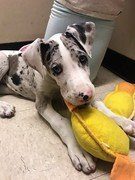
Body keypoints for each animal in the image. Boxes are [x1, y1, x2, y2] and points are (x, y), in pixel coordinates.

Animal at [0, 22, 135, 174]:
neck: (55, 85)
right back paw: (4, 107)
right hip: (3, 59)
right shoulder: (42, 103)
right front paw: (80, 150)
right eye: (56, 69)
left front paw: (123, 121)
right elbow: (61, 122)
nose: (85, 95)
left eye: (83, 58)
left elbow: (102, 107)